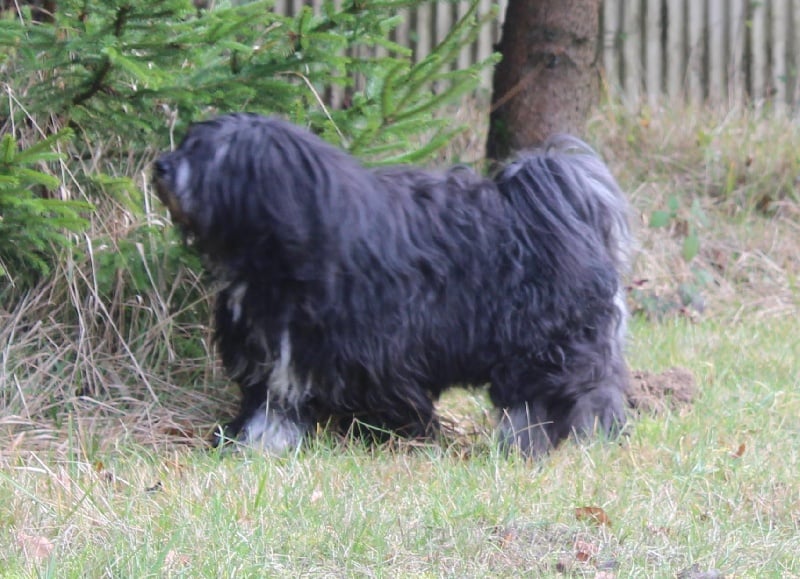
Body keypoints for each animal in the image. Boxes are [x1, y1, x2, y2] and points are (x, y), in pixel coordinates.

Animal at [155, 114, 632, 458]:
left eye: (207, 154)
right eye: (186, 143)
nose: (160, 165)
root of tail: (562, 205)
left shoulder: (379, 350)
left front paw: (400, 437)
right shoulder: (274, 354)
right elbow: (271, 403)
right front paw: (254, 443)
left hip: (544, 343)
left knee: (557, 397)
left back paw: (539, 444)